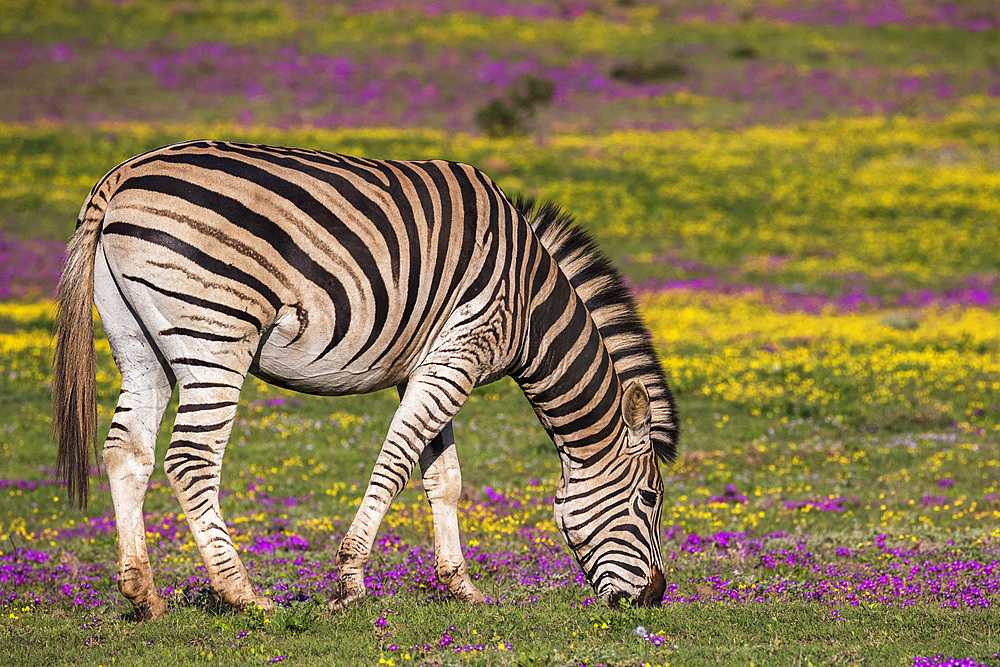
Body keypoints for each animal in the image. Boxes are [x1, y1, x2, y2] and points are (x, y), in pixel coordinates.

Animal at [54, 141, 680, 620]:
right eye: (651, 498)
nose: (654, 597)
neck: (529, 305)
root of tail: (121, 177)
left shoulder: (428, 364)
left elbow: (443, 479)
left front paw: (463, 588)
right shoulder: (461, 352)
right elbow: (396, 465)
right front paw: (351, 583)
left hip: (140, 344)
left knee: (126, 452)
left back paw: (143, 597)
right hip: (215, 331)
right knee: (190, 459)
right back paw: (244, 596)